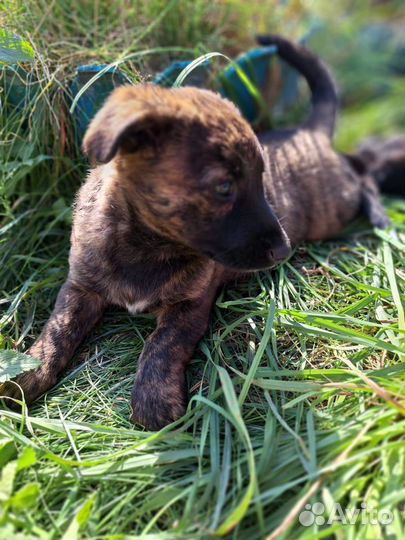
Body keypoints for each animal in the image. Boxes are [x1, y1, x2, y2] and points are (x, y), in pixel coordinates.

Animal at [1, 34, 390, 430]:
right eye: (224, 187)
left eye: (261, 179)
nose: (283, 250)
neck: (146, 248)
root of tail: (310, 131)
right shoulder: (80, 287)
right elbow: (57, 329)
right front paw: (28, 372)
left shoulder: (190, 304)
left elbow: (162, 343)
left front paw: (153, 399)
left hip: (335, 206)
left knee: (360, 171)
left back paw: (380, 213)